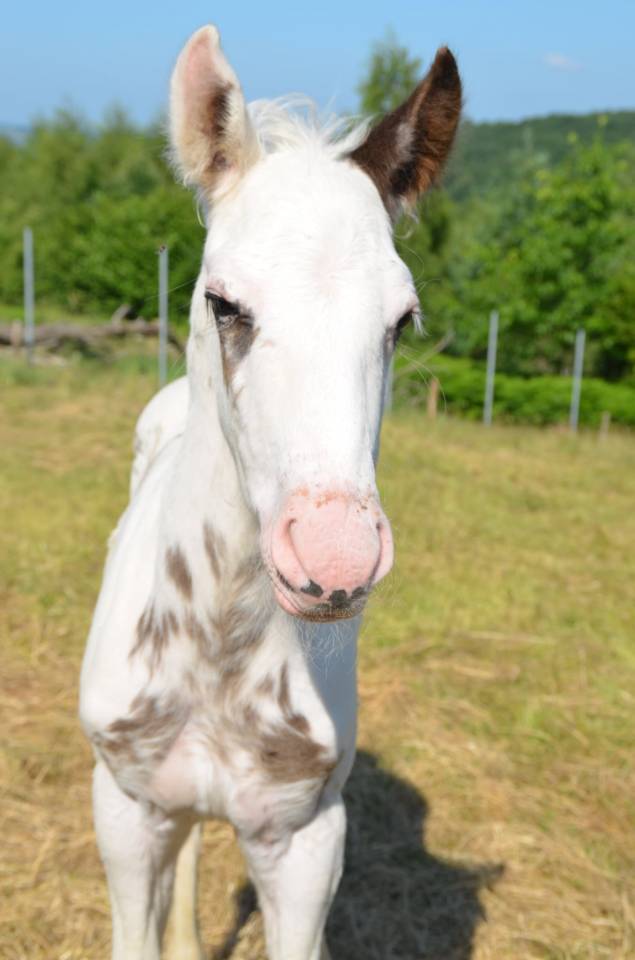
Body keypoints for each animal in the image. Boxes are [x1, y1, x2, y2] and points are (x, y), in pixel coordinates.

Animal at [79, 24, 461, 960]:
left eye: (402, 321)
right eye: (223, 303)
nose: (334, 560)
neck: (219, 653)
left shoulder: (305, 839)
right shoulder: (124, 809)